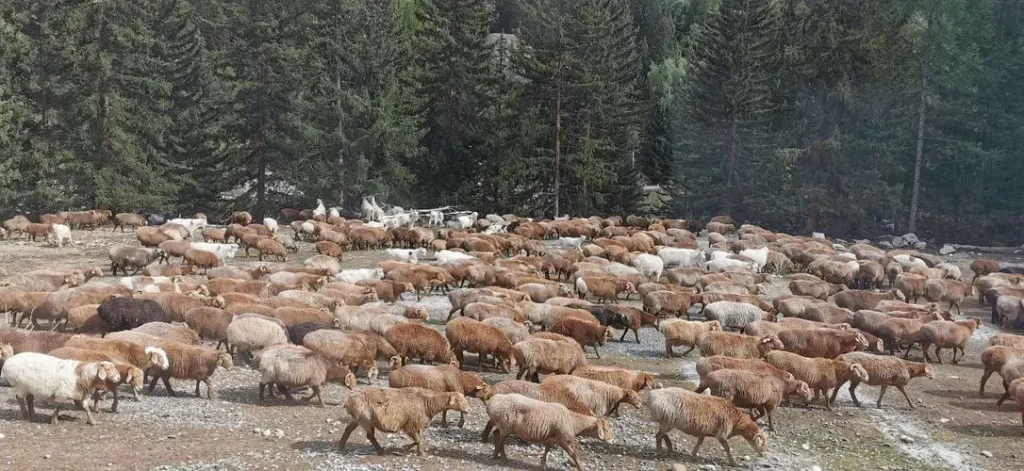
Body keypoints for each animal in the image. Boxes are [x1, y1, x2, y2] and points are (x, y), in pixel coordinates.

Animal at [338, 387, 470, 456]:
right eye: (458, 400)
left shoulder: (416, 425)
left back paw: (341, 446)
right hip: (366, 420)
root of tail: (349, 398)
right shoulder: (410, 425)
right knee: (370, 436)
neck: (428, 402)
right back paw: (381, 450)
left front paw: (417, 451)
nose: (469, 409)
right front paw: (409, 448)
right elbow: (418, 440)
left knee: (348, 430)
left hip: (357, 418)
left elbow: (419, 439)